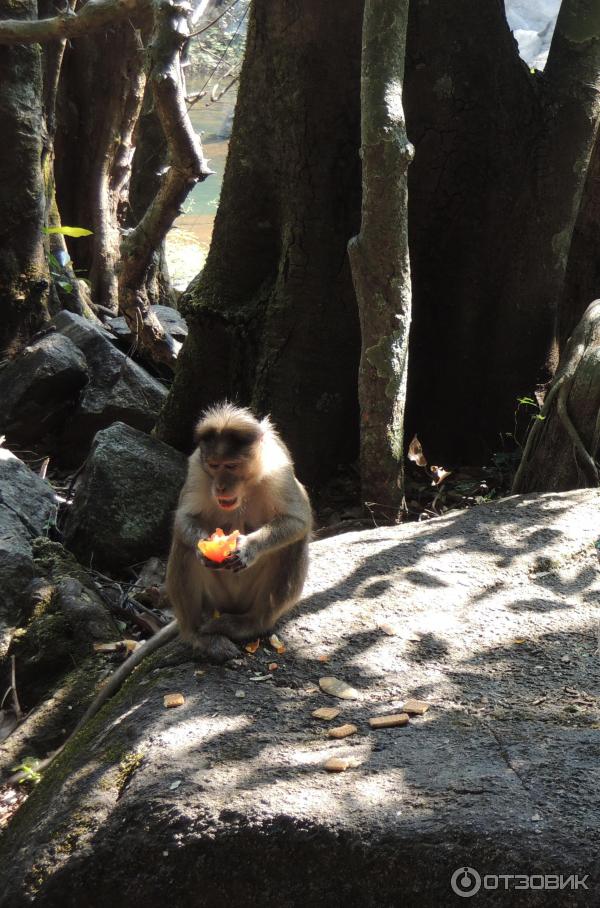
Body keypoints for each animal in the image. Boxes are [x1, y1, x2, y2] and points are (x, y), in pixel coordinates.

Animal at [165, 400, 314, 664]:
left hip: (248, 599)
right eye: (214, 466)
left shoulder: (279, 470)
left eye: (231, 466)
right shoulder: (197, 469)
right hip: (216, 599)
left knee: (292, 545)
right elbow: (184, 519)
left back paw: (249, 625)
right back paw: (198, 636)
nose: (221, 486)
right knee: (182, 546)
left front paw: (248, 547)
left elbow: (298, 520)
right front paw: (203, 548)